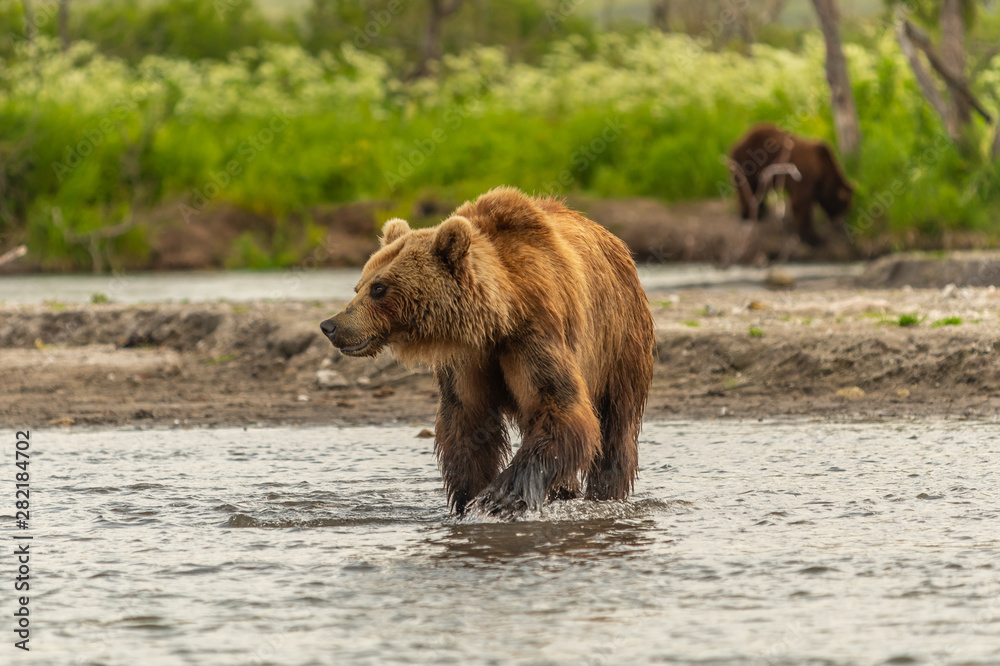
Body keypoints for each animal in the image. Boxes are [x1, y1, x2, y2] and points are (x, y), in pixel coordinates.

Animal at [320, 187, 655, 518]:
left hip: (620, 342)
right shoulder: (466, 357)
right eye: (359, 285)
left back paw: (605, 495)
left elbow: (560, 407)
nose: (330, 325)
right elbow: (467, 421)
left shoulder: (533, 335)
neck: (498, 319)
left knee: (615, 428)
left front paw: (498, 498)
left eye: (379, 288)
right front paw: (466, 500)